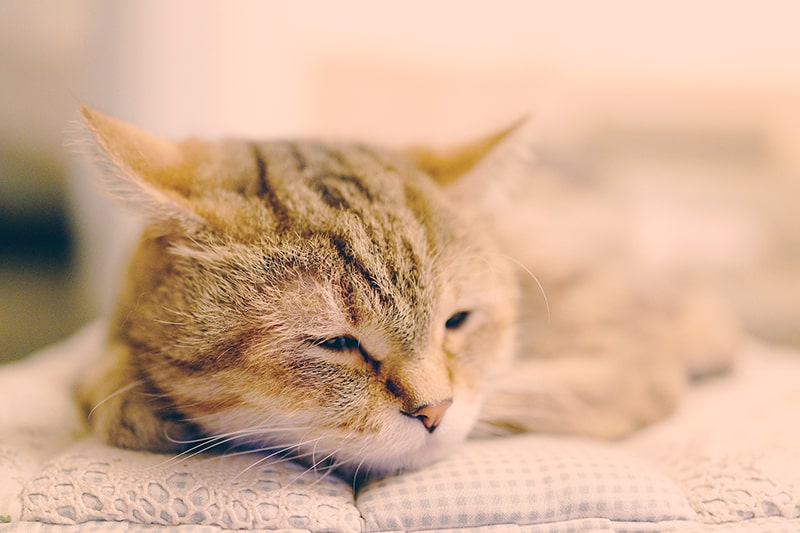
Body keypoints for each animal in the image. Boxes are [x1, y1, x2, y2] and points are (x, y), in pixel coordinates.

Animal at [75, 107, 736, 478]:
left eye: (457, 321)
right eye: (334, 343)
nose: (434, 411)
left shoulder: (621, 365)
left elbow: (524, 394)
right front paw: (133, 396)